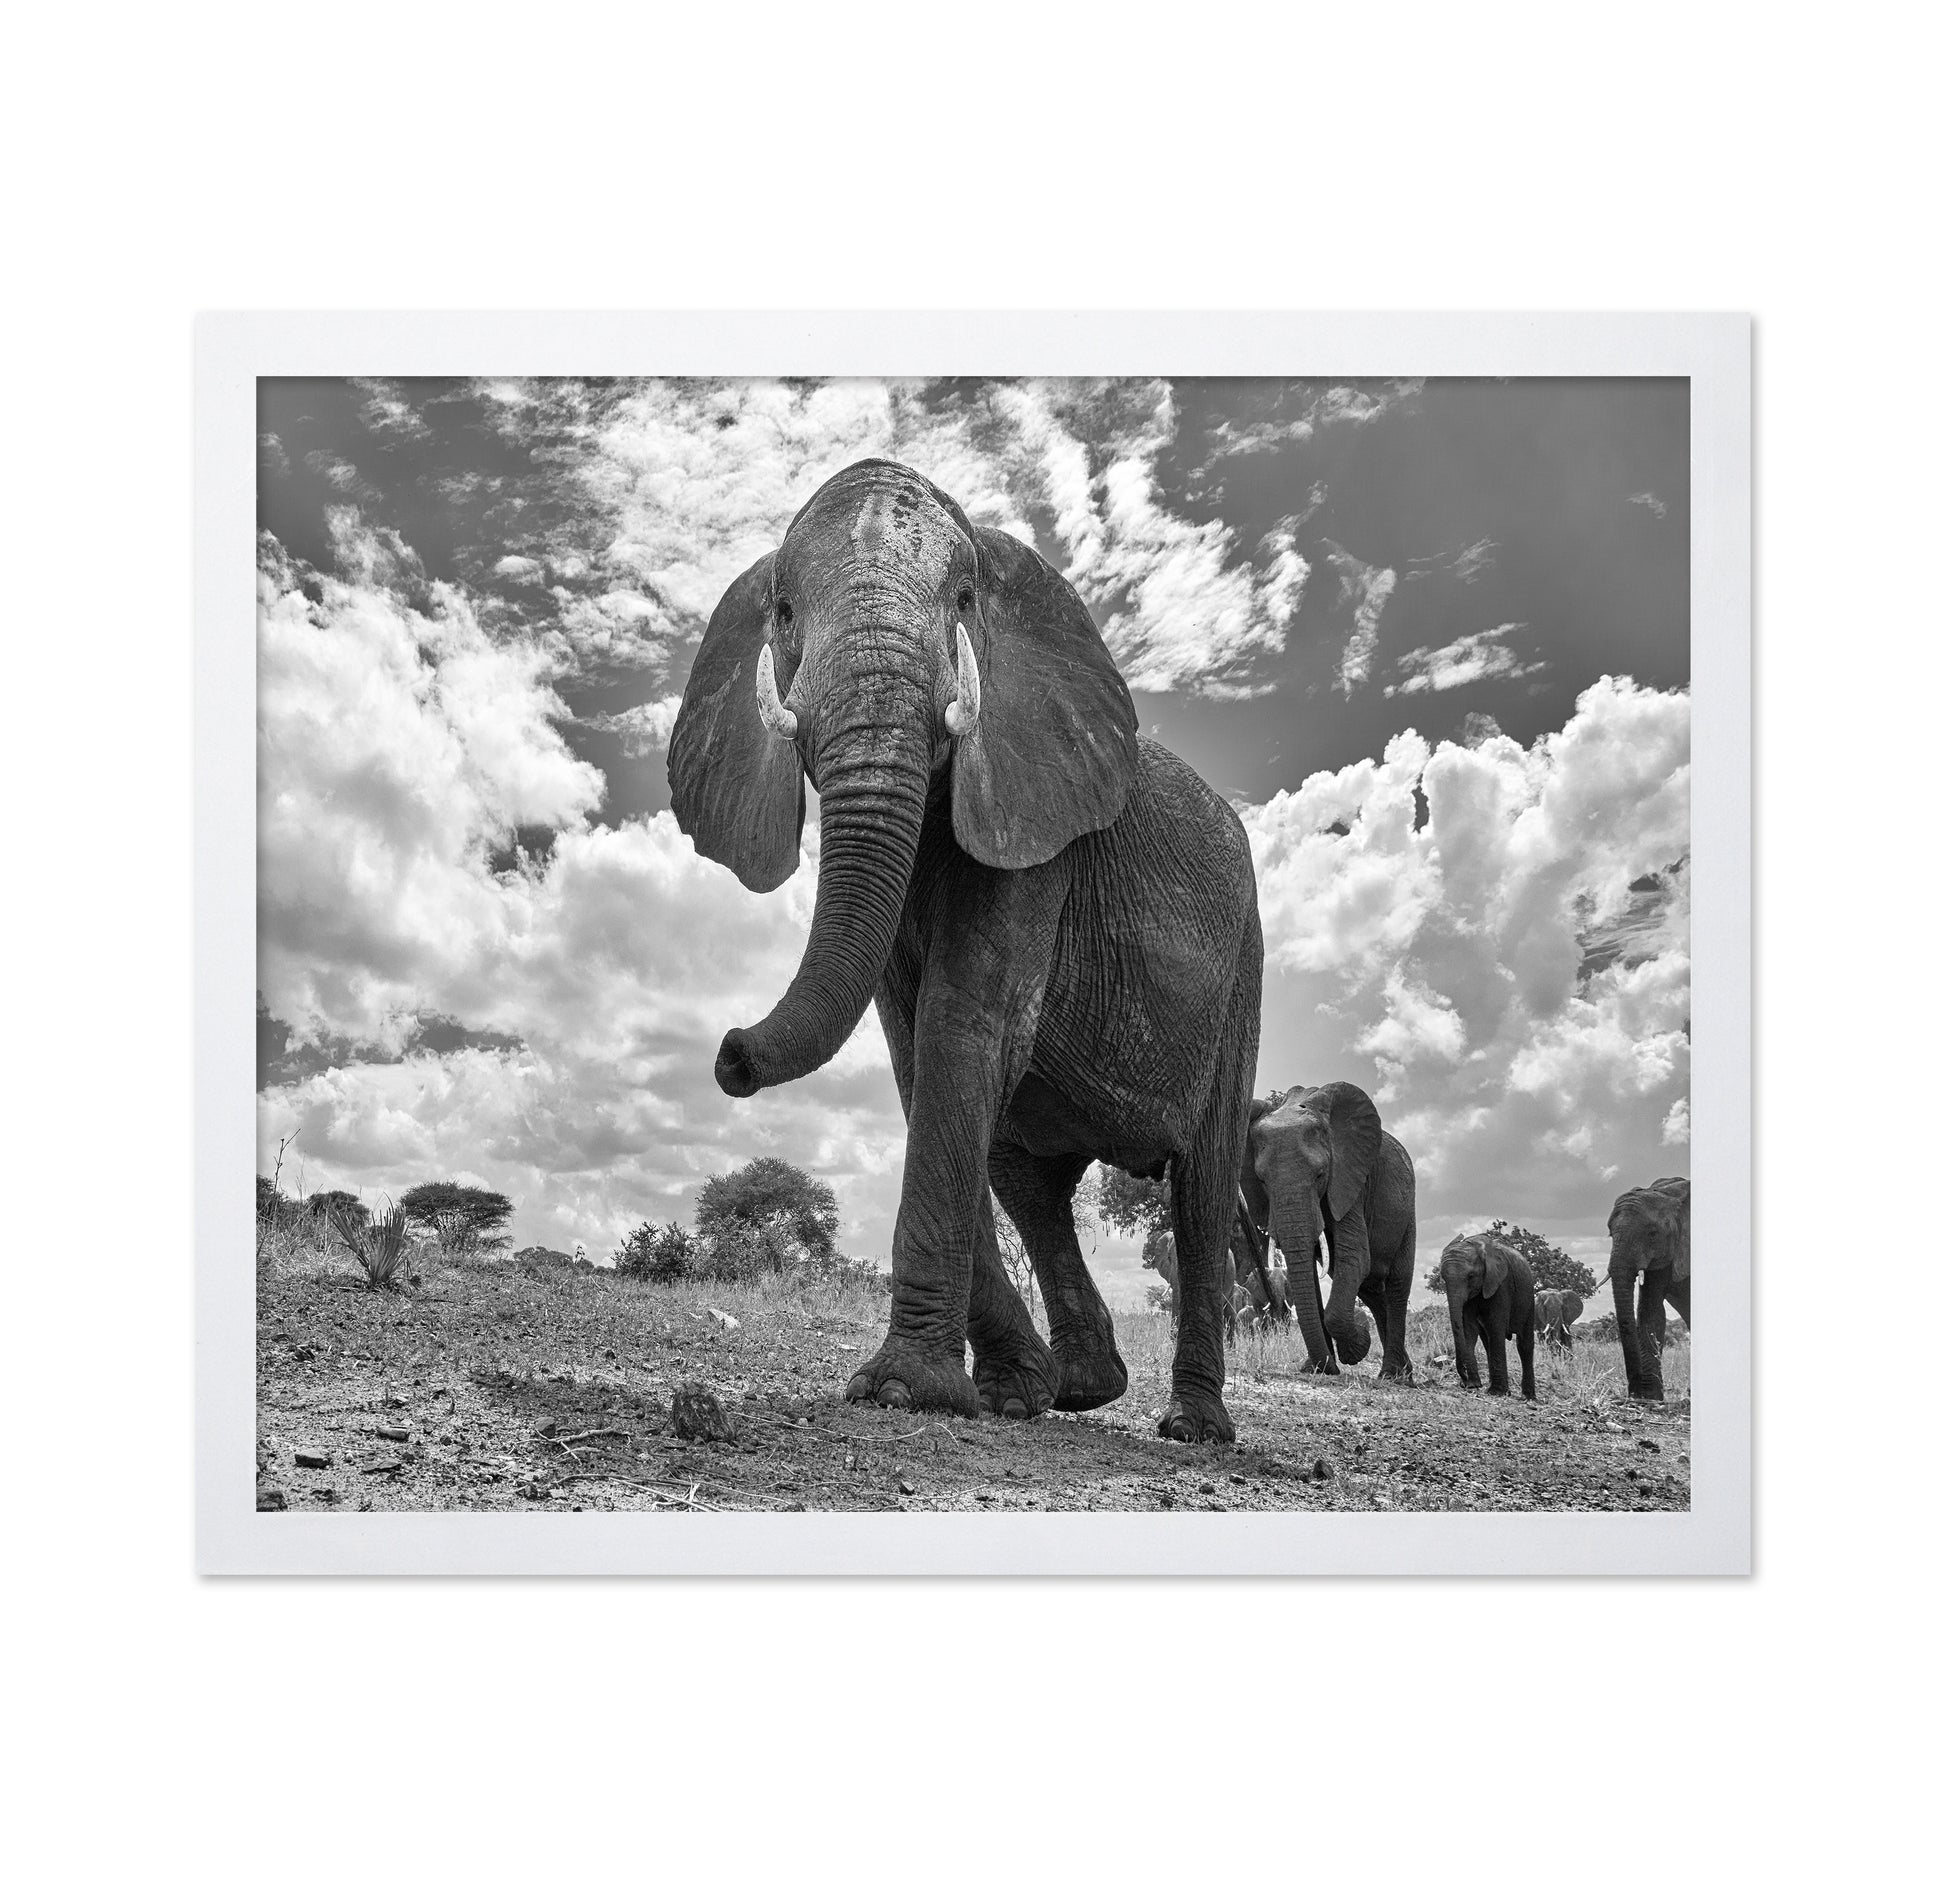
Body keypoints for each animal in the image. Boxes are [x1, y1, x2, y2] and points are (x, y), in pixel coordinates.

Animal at [667, 459, 1263, 1443]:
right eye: (782, 611)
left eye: (964, 599)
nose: (729, 1054)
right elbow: (919, 1059)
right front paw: (1001, 1391)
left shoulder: (1037, 828)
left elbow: (964, 1025)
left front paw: (902, 1390)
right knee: (1029, 1179)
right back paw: (1079, 1389)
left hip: (1244, 966)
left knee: (1204, 1185)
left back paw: (1193, 1427)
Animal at [1237, 1083, 1417, 1379]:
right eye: (1262, 1181)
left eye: (1321, 1174)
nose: (1326, 1368)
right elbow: (1309, 1271)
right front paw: (1318, 1368)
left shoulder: (1350, 1181)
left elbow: (1355, 1257)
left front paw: (1355, 1347)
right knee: (1373, 1291)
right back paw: (1403, 1371)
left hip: (1407, 1213)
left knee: (1397, 1285)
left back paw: (1393, 1375)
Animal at [1435, 1232, 1537, 1399]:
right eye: (1443, 1278)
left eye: (1471, 1276)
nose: (1463, 1381)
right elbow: (1468, 1328)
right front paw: (1473, 1385)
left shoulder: (1500, 1283)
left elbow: (1495, 1326)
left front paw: (1497, 1393)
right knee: (1486, 1340)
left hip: (1528, 1297)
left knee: (1524, 1344)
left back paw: (1528, 1397)